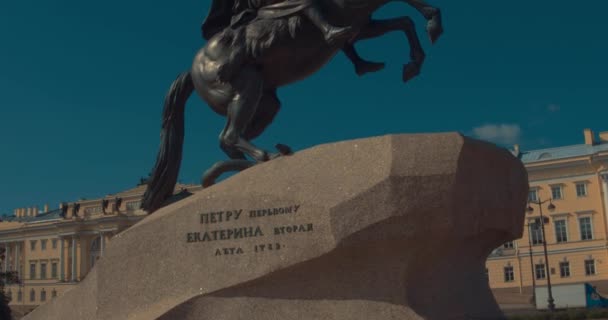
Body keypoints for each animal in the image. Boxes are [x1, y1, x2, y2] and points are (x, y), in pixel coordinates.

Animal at [142, 0, 442, 215]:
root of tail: (193, 70)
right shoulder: (353, 10)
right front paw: (433, 25)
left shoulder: (361, 23)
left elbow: (403, 21)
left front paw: (415, 60)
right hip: (247, 86)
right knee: (229, 135)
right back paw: (264, 156)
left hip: (265, 103)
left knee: (229, 137)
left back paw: (261, 159)